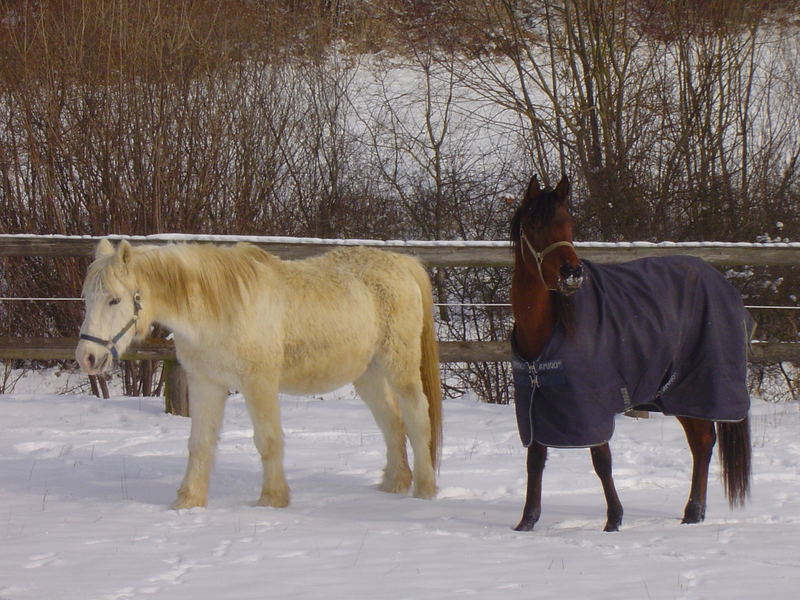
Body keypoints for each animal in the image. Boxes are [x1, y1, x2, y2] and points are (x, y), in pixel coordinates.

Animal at [76, 239, 444, 506]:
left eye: (114, 300)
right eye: (87, 298)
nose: (87, 357)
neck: (221, 309)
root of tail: (402, 263)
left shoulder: (258, 384)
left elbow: (268, 441)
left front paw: (272, 500)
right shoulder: (206, 383)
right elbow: (200, 444)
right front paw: (188, 502)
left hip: (399, 367)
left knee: (417, 418)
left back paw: (425, 490)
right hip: (368, 374)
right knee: (392, 423)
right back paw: (394, 483)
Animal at [512, 176, 752, 532]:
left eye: (569, 223)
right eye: (534, 224)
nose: (572, 274)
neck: (549, 328)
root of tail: (723, 284)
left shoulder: (592, 405)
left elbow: (602, 461)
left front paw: (614, 520)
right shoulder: (536, 404)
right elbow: (535, 460)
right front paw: (526, 522)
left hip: (697, 388)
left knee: (704, 442)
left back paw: (693, 512)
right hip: (674, 393)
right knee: (702, 442)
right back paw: (693, 513)